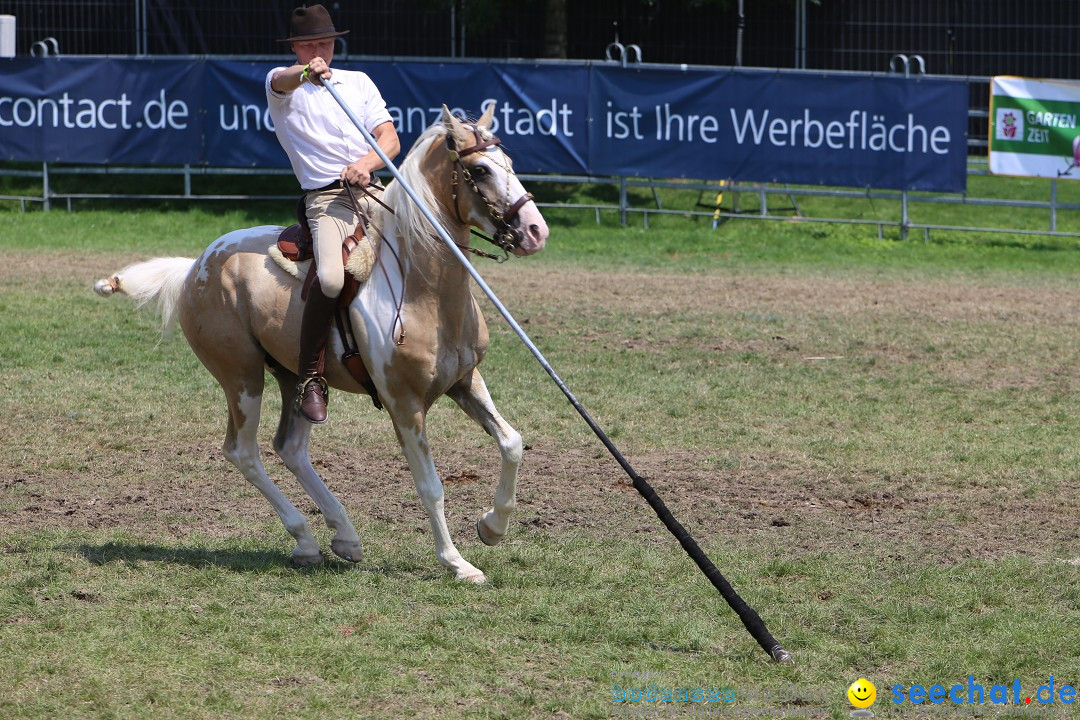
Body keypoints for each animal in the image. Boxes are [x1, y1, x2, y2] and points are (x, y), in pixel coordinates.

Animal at [92, 105, 548, 578]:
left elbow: (512, 443)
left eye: (509, 163)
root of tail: (195, 266)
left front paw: (491, 527)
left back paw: (343, 535)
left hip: (292, 377)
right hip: (241, 378)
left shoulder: (465, 380)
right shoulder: (405, 405)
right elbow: (430, 485)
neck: (423, 288)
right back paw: (307, 537)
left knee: (290, 448)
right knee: (243, 452)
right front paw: (457, 562)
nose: (535, 230)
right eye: (479, 169)